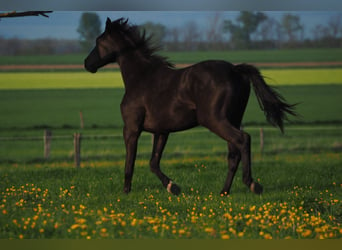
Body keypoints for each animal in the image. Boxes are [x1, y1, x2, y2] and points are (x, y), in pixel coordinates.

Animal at [85, 18, 296, 195]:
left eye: (98, 41)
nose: (87, 64)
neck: (142, 78)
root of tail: (235, 70)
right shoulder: (162, 131)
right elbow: (153, 162)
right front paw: (173, 187)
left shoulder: (131, 128)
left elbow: (130, 162)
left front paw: (126, 192)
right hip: (233, 119)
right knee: (233, 153)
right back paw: (224, 192)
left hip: (215, 120)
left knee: (243, 140)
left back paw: (252, 184)